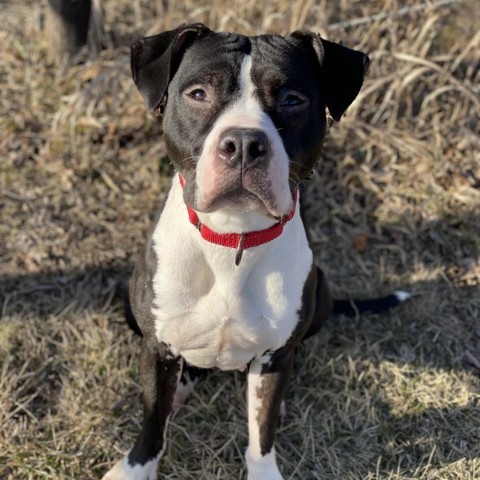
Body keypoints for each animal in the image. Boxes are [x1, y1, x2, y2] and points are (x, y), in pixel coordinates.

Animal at [104, 23, 408, 480]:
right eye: (198, 93)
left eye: (292, 99)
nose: (245, 143)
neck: (234, 237)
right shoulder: (156, 350)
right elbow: (152, 421)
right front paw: (135, 467)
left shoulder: (275, 355)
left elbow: (261, 433)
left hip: (320, 294)